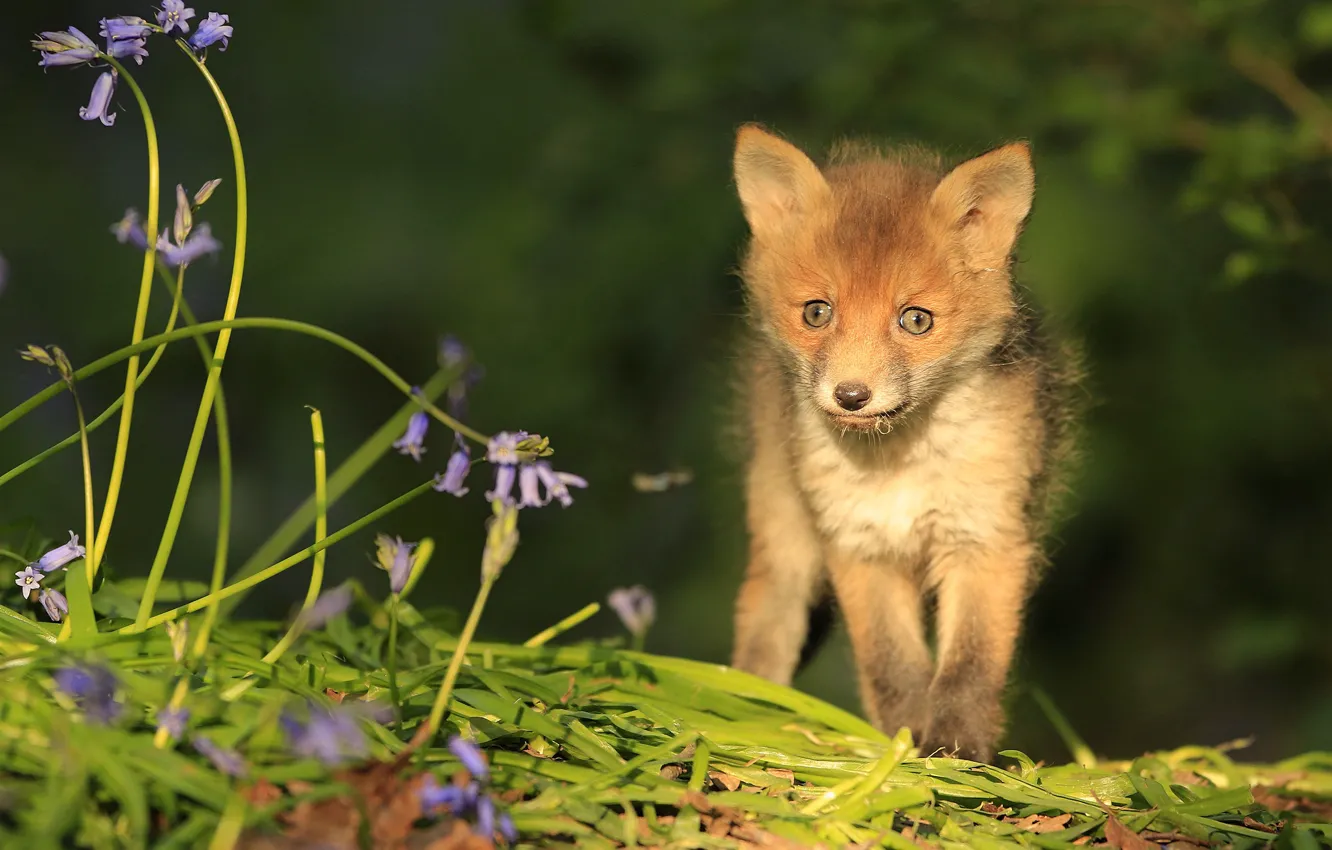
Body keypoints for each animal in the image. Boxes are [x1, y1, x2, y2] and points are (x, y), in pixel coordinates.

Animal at [728, 124, 1081, 762]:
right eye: (817, 313)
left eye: (916, 320)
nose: (850, 395)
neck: (900, 466)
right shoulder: (857, 545)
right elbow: (892, 668)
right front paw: (902, 744)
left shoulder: (986, 539)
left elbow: (969, 666)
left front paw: (958, 753)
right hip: (785, 529)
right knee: (769, 623)